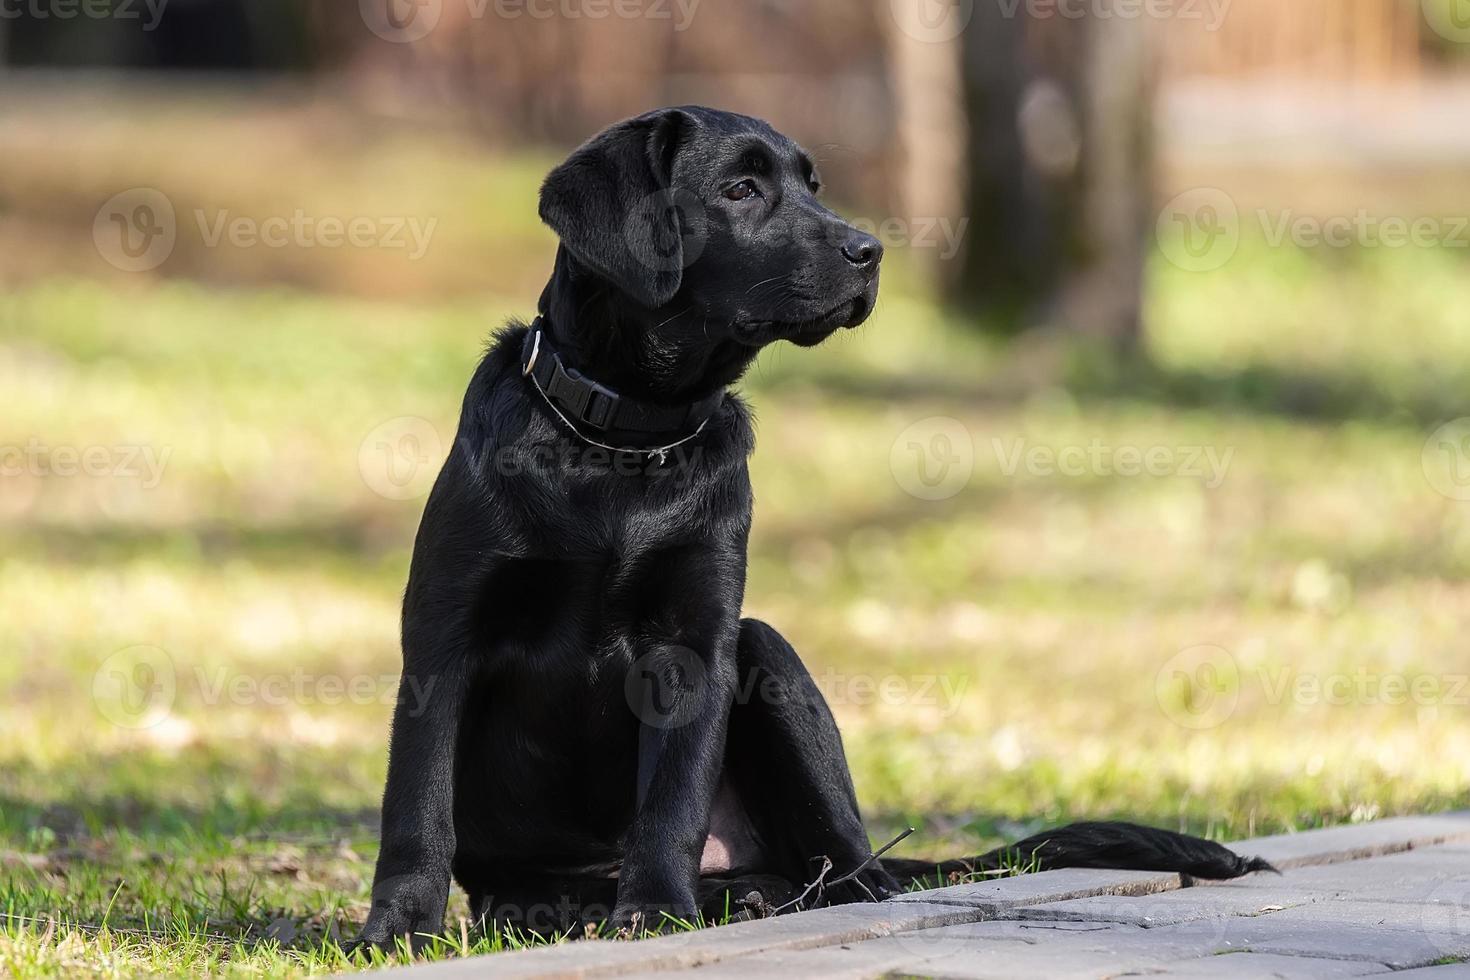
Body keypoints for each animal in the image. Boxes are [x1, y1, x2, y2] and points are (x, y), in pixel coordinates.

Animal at [349, 107, 1270, 952]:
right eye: (740, 189)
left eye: (812, 186)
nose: (870, 251)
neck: (624, 439)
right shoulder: (446, 636)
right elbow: (418, 807)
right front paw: (394, 930)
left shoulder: (696, 640)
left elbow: (671, 802)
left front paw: (654, 915)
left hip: (767, 653)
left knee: (849, 866)